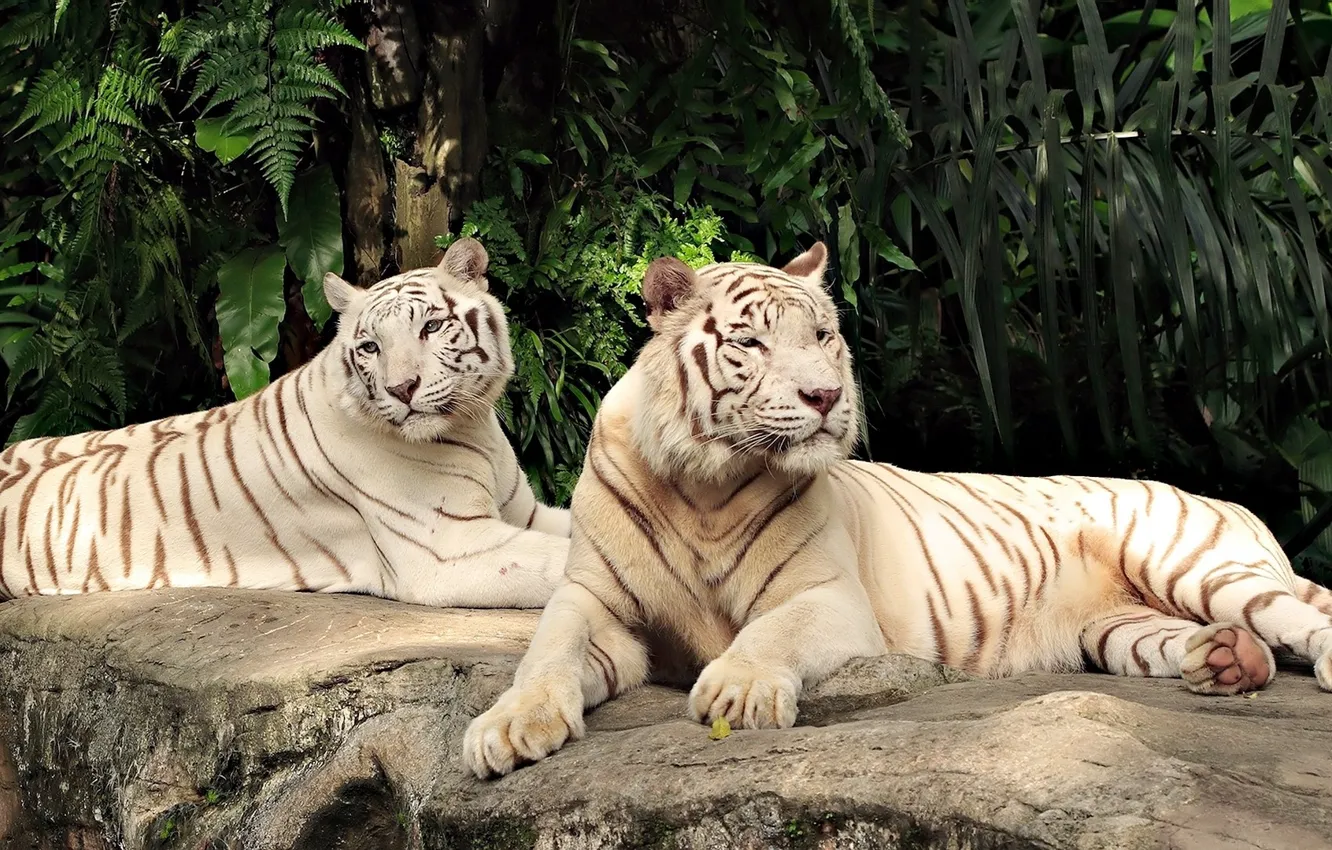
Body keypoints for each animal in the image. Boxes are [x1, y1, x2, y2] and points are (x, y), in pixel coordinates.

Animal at [0, 237, 571, 608]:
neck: (472, 425)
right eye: (370, 347)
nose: (401, 389)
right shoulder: (449, 549)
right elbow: (565, 561)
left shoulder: (523, 513)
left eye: (431, 328)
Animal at [463, 240, 1332, 779]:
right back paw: (1229, 662)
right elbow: (547, 652)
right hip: (1118, 627)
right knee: (1221, 642)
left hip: (1192, 562)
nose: (825, 395)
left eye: (823, 335)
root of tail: (1231, 503)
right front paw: (507, 728)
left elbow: (769, 632)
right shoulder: (595, 600)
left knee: (1297, 616)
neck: (703, 485)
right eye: (751, 344)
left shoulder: (828, 598)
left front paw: (737, 690)